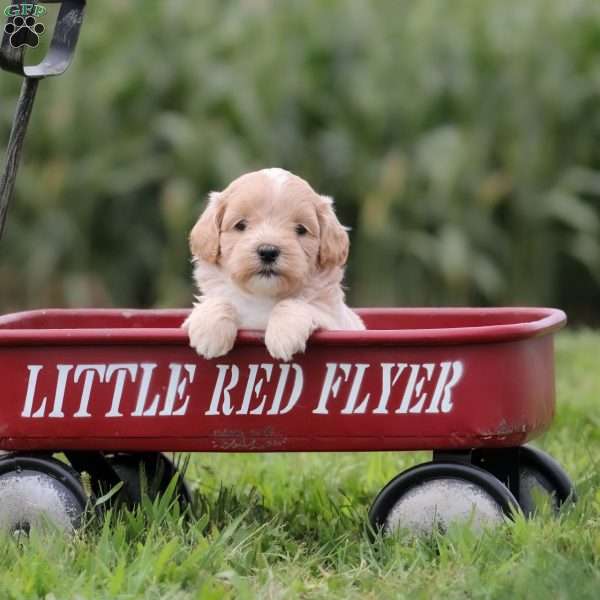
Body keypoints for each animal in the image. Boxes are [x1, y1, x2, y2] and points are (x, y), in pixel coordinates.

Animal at [183, 168, 364, 360]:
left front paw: (284, 335)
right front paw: (209, 331)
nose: (268, 251)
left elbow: (299, 304)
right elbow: (219, 300)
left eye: (301, 229)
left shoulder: (332, 320)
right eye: (241, 225)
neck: (263, 296)